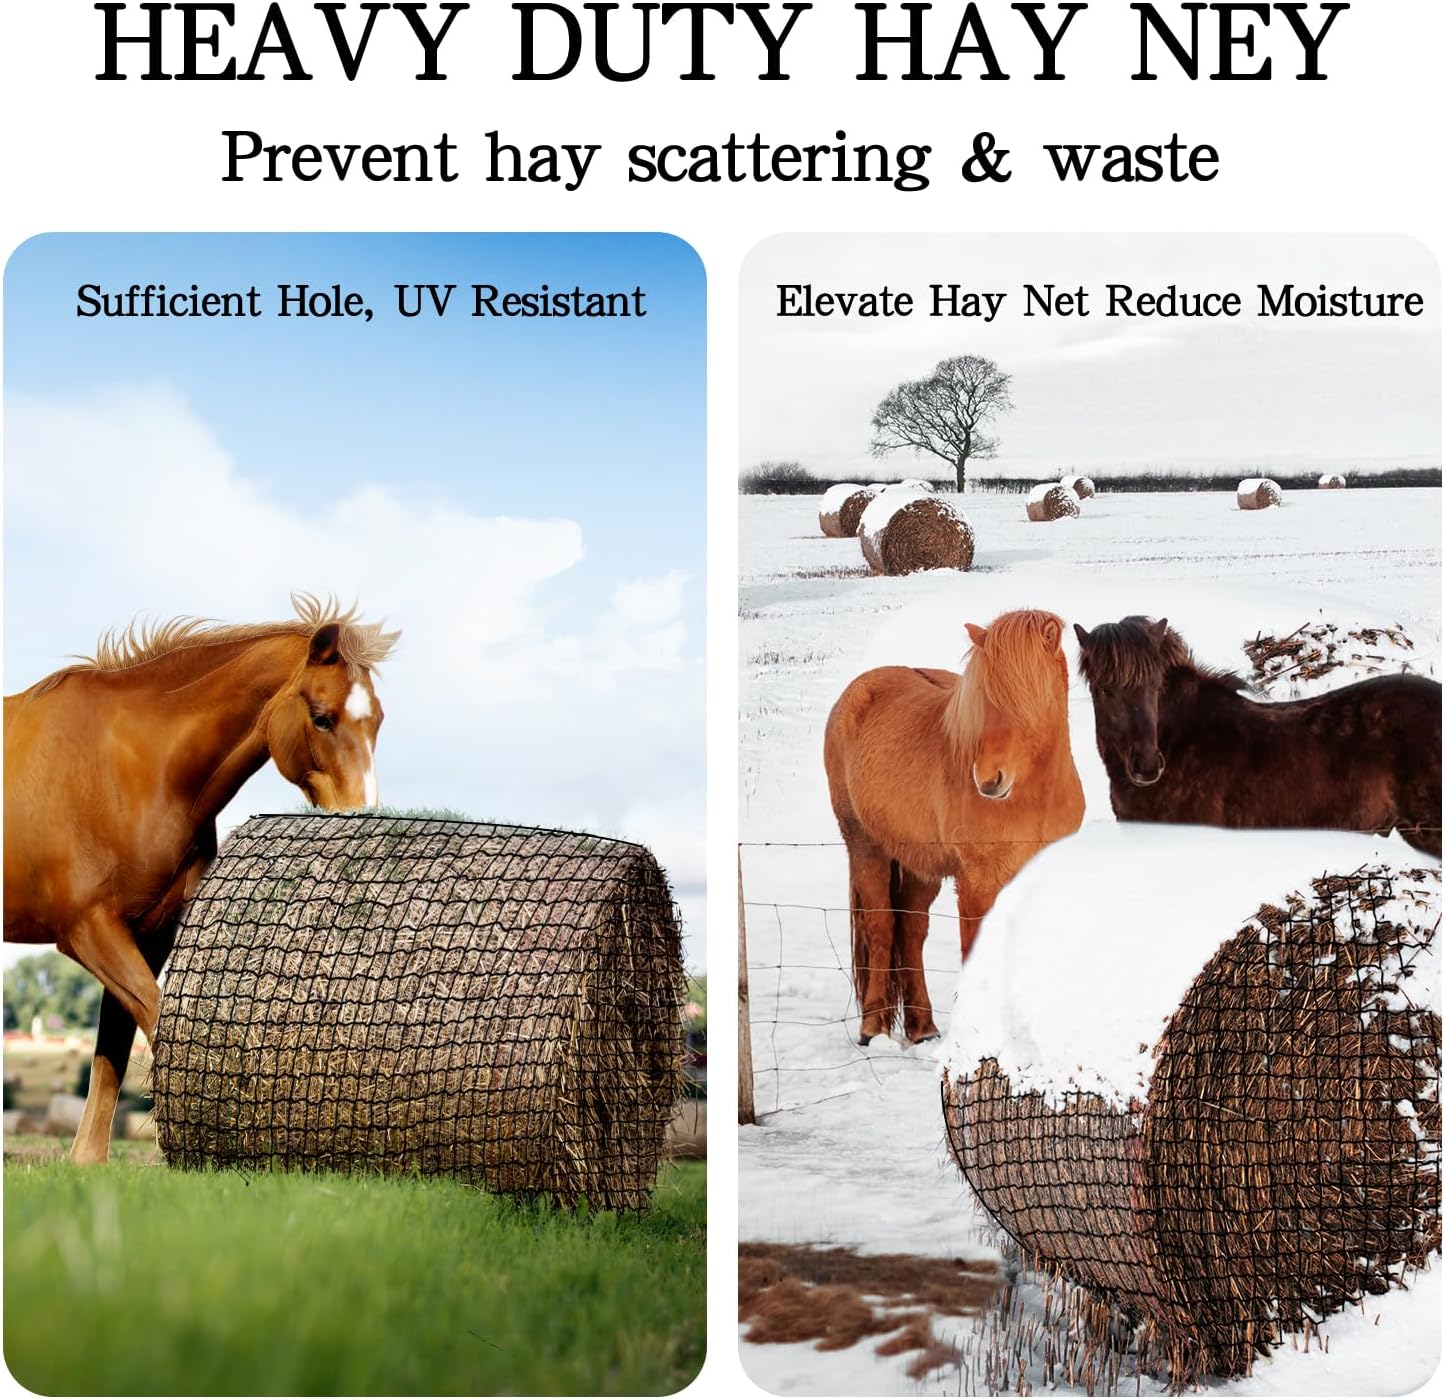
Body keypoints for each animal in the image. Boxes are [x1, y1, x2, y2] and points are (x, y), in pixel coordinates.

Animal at [3, 594, 400, 1163]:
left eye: (378, 721)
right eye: (322, 718)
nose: (363, 818)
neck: (136, 769)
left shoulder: (148, 934)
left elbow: (113, 1050)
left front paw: (87, 1163)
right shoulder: (87, 930)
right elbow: (158, 1021)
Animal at [824, 609, 1085, 1046]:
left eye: (1027, 696)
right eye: (983, 698)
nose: (989, 780)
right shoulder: (977, 882)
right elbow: (974, 952)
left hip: (919, 864)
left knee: (911, 930)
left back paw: (922, 1028)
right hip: (865, 846)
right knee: (881, 926)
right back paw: (873, 1027)